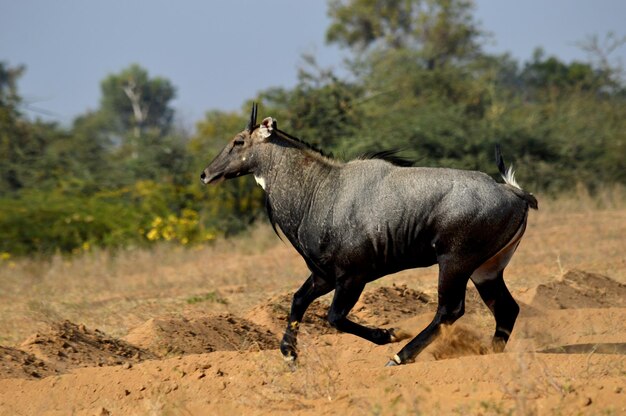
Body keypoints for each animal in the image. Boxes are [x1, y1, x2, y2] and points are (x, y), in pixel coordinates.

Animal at [200, 105, 536, 368]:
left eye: (238, 141)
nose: (205, 174)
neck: (318, 190)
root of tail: (514, 193)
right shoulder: (323, 276)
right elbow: (297, 300)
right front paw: (289, 354)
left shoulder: (353, 276)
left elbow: (334, 318)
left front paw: (389, 334)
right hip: (486, 269)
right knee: (507, 309)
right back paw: (488, 353)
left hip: (455, 262)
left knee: (450, 310)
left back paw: (400, 356)